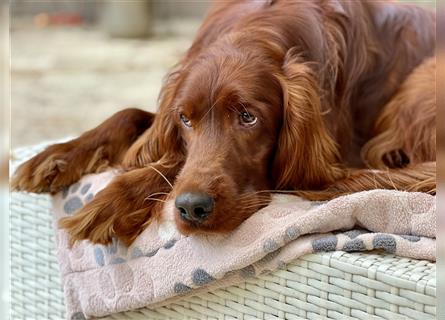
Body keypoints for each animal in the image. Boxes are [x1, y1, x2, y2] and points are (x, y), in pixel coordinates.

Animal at [12, 0, 436, 245]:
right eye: (185, 118)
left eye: (249, 117)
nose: (191, 209)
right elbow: (134, 118)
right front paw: (55, 158)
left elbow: (171, 164)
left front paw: (111, 203)